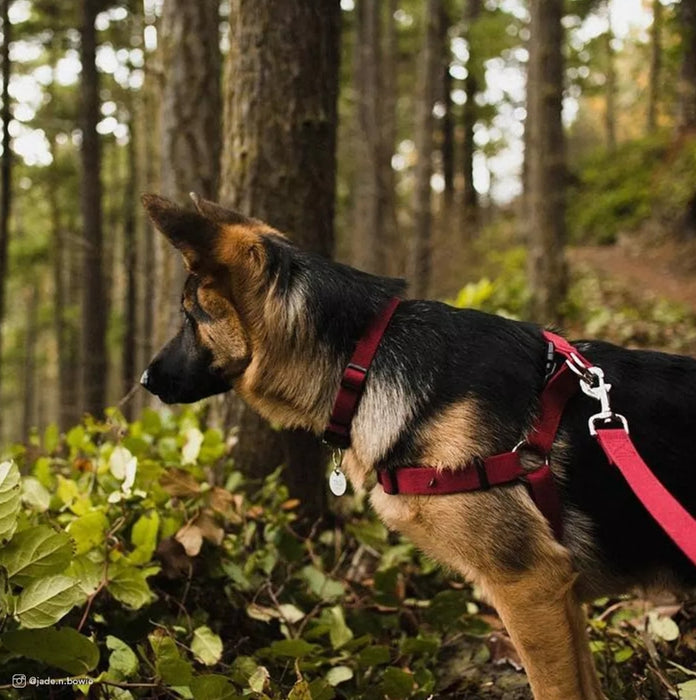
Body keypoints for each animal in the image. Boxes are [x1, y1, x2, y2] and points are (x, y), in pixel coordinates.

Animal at [141, 194, 696, 700]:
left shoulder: (530, 585)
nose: (144, 380)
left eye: (189, 317)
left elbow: (557, 690)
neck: (363, 361)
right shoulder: (561, 593)